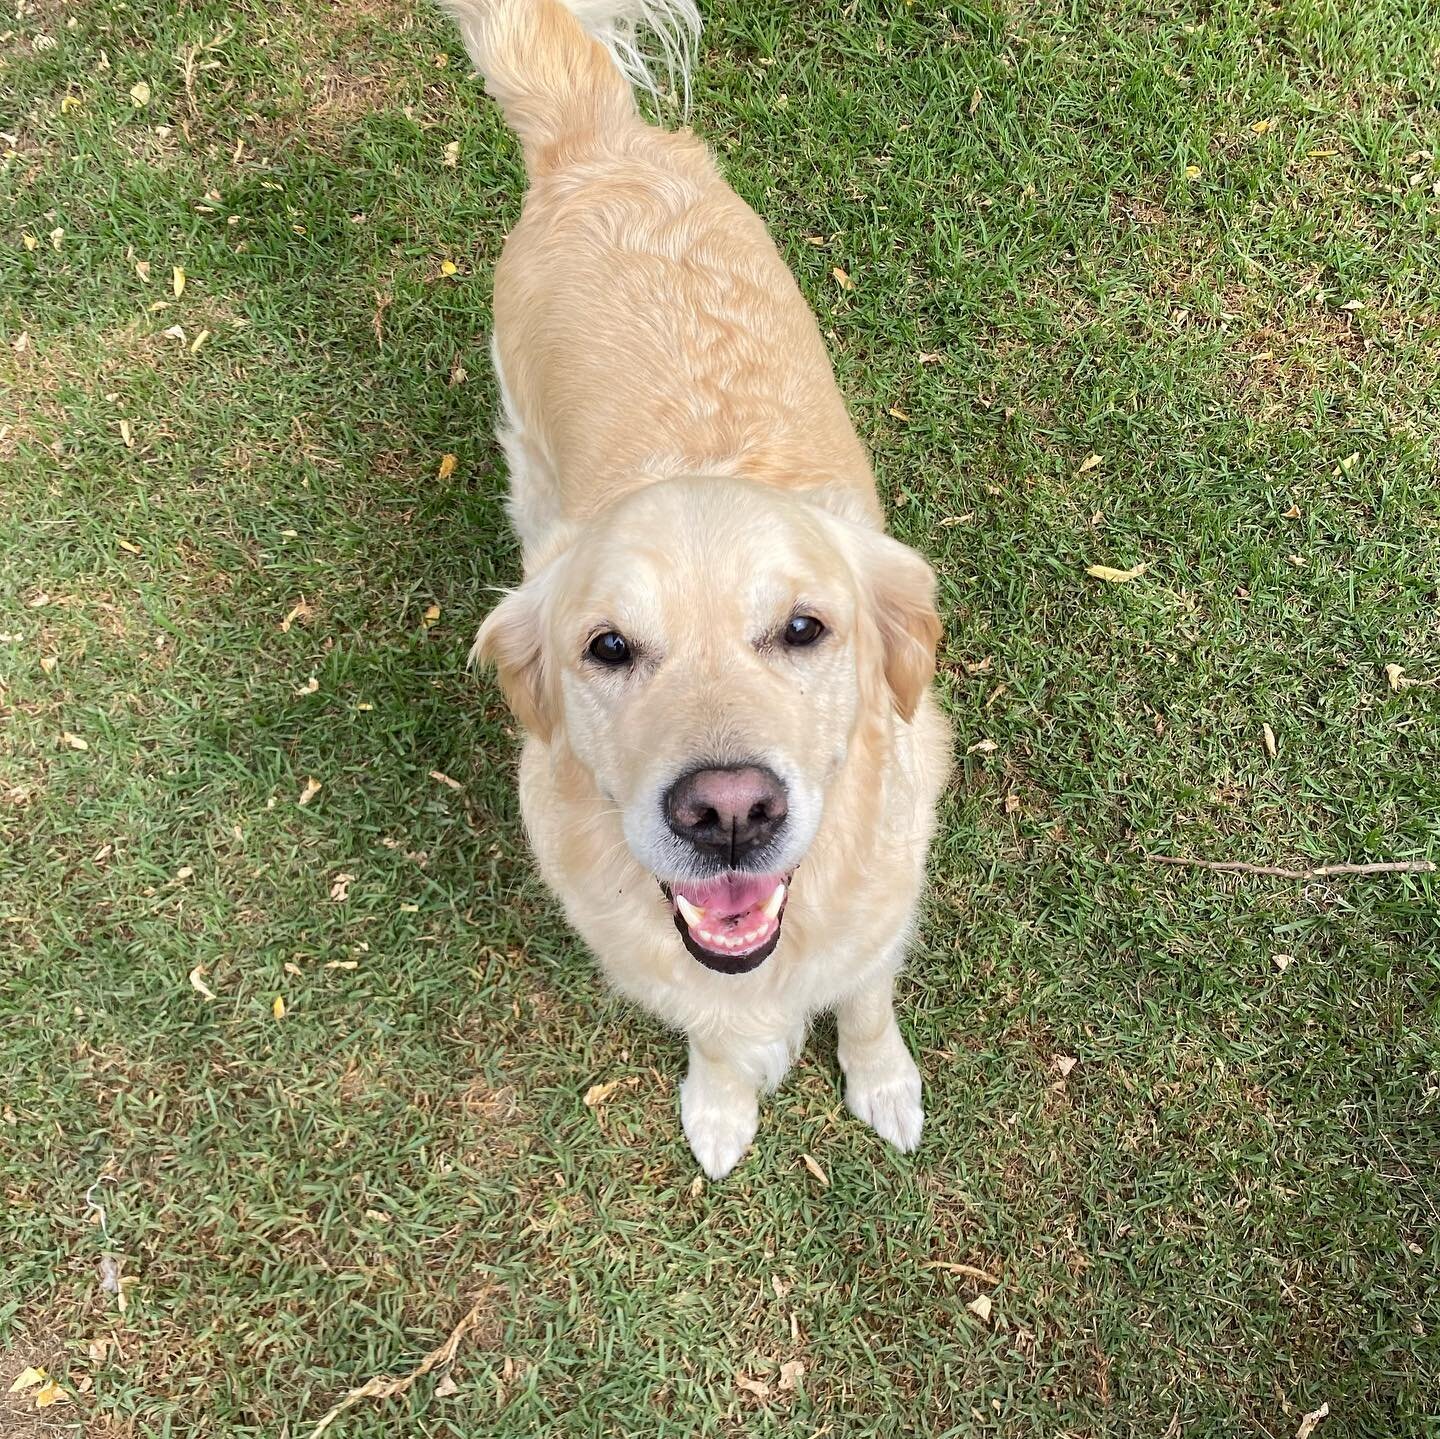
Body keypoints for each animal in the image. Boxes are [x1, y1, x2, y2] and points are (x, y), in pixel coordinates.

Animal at [443, 0, 950, 1175]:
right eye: (608, 646)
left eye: (805, 627)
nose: (728, 814)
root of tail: (597, 146)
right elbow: (715, 1032)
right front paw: (723, 1103)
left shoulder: (881, 913)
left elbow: (866, 1001)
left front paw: (884, 1080)